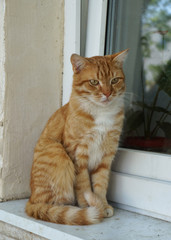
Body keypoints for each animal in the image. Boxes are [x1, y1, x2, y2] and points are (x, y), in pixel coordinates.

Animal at [25, 48, 128, 225]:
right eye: (94, 82)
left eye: (114, 80)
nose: (107, 93)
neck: (102, 113)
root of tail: (30, 200)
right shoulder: (77, 153)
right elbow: (83, 184)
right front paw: (88, 206)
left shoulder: (106, 156)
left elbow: (101, 184)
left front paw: (103, 204)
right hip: (58, 153)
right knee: (52, 206)